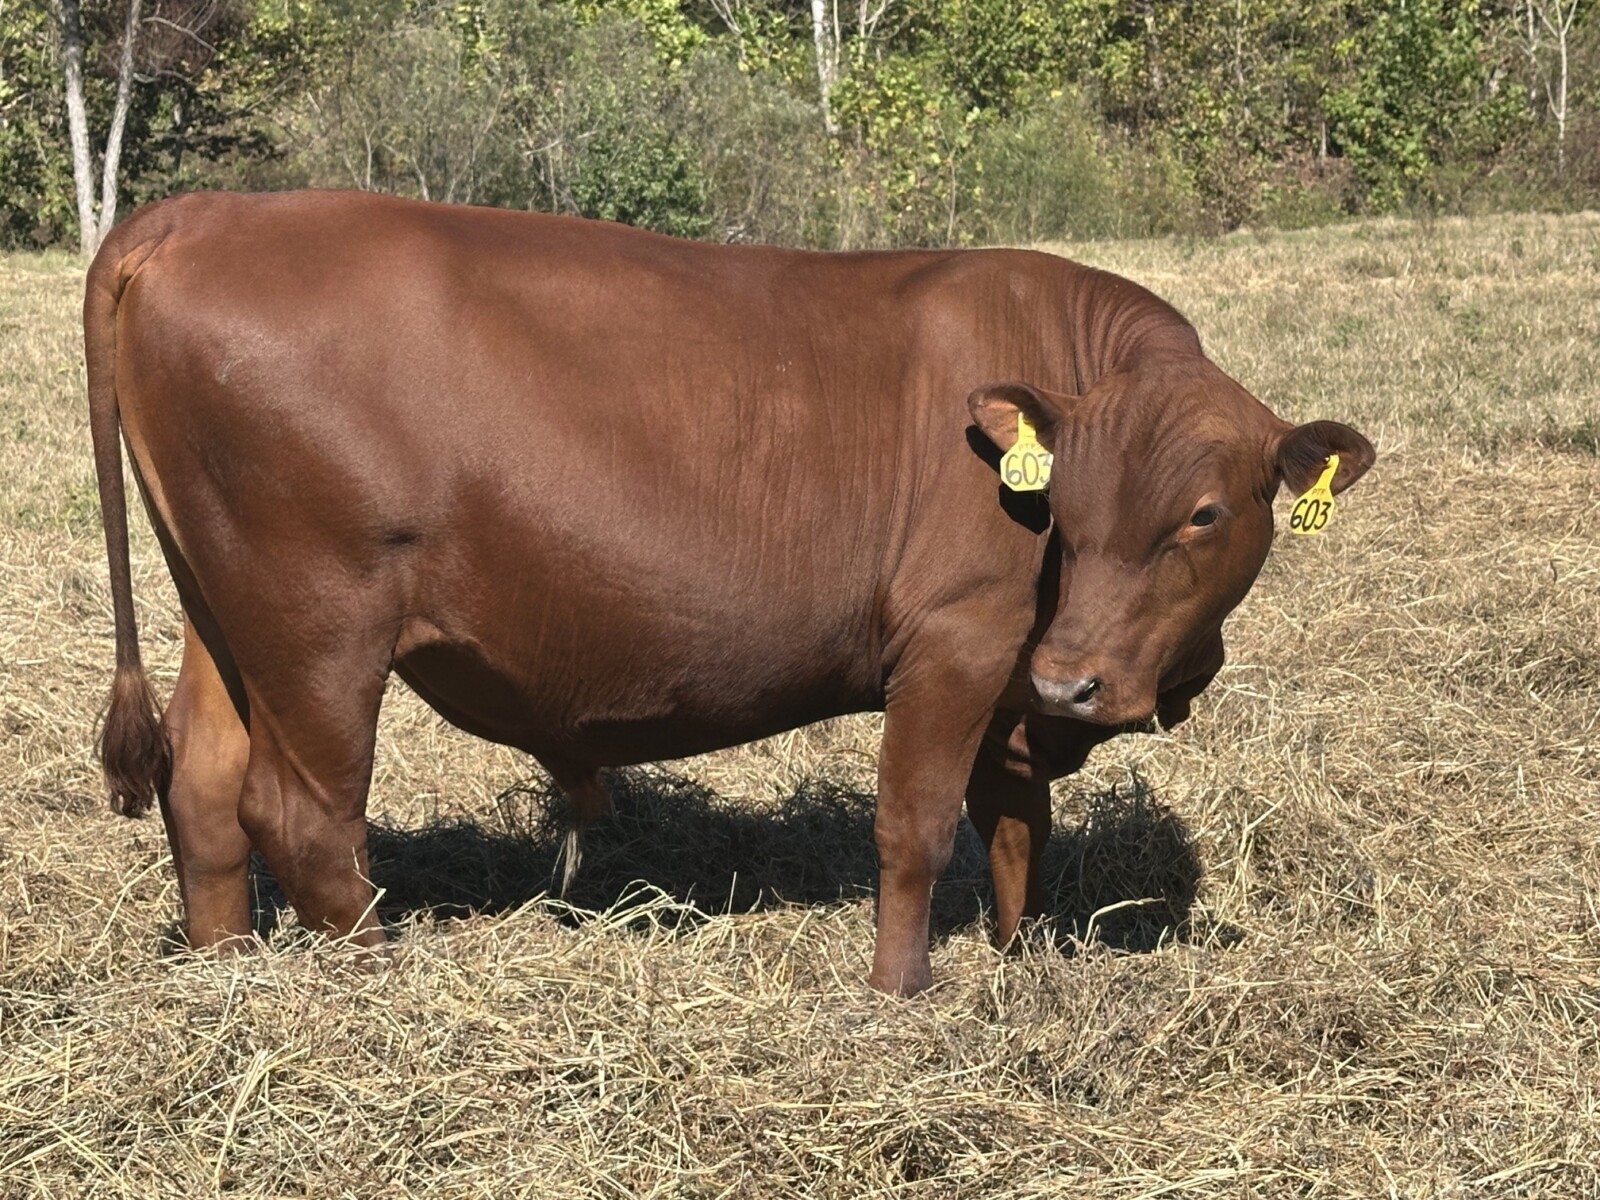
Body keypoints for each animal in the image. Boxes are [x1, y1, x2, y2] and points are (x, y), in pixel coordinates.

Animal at [86, 191, 1373, 995]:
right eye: (1066, 504)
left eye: (1202, 514)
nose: (1077, 681)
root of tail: (203, 211)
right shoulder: (959, 641)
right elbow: (914, 826)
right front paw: (902, 994)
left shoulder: (1015, 681)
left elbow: (1016, 827)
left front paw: (1020, 962)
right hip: (320, 624)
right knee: (304, 818)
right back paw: (370, 984)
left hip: (227, 611)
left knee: (204, 786)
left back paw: (226, 975)